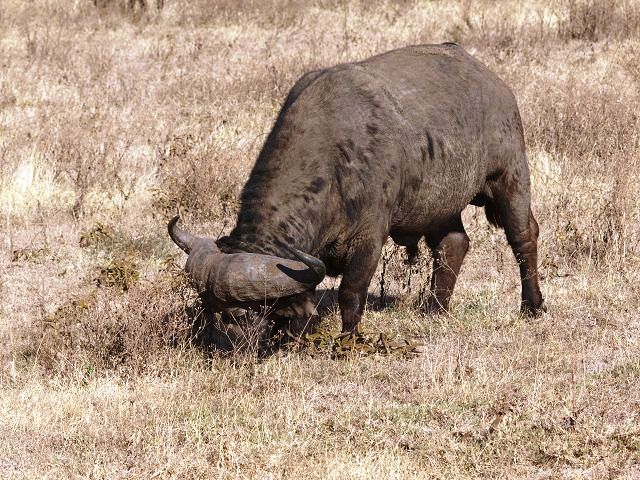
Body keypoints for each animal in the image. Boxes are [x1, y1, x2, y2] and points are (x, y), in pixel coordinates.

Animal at [169, 43, 545, 336]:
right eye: (209, 309)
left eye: (242, 314)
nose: (229, 344)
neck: (333, 161)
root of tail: (491, 80)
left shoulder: (368, 238)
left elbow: (351, 291)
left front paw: (348, 339)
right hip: (438, 205)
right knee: (453, 245)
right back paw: (434, 309)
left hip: (510, 176)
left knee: (524, 237)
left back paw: (533, 306)